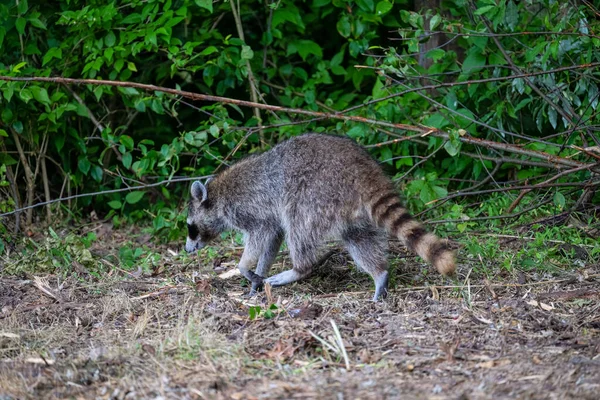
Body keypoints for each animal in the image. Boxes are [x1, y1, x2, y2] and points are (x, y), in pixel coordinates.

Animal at [188, 134, 454, 300]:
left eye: (190, 227)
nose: (187, 249)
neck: (217, 196)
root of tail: (364, 171)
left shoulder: (246, 209)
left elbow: (260, 235)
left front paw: (244, 267)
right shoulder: (266, 217)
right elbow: (272, 240)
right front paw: (257, 278)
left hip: (315, 194)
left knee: (298, 228)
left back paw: (299, 269)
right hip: (347, 206)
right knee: (360, 238)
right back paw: (379, 273)